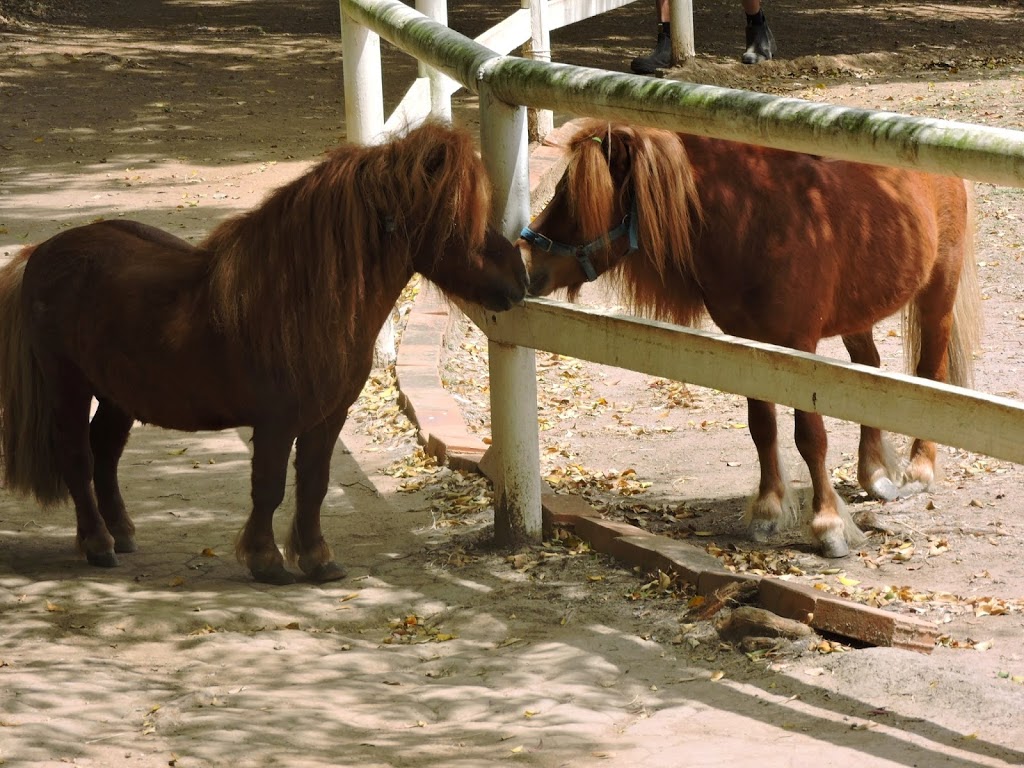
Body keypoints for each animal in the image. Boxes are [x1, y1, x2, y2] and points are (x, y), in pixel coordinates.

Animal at [0, 120, 528, 581]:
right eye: (458, 218)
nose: (521, 279)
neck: (298, 300)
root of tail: (40, 253)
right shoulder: (276, 422)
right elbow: (270, 487)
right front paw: (266, 561)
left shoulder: (327, 417)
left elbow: (313, 485)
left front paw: (317, 559)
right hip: (67, 386)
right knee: (77, 456)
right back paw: (98, 544)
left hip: (118, 395)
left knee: (104, 452)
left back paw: (123, 534)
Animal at [524, 120, 978, 561]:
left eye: (576, 201)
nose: (526, 265)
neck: (753, 225)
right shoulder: (747, 346)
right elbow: (762, 427)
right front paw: (768, 509)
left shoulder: (800, 347)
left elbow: (810, 437)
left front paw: (828, 525)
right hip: (859, 314)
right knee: (870, 371)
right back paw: (875, 474)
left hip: (938, 292)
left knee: (930, 373)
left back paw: (919, 469)